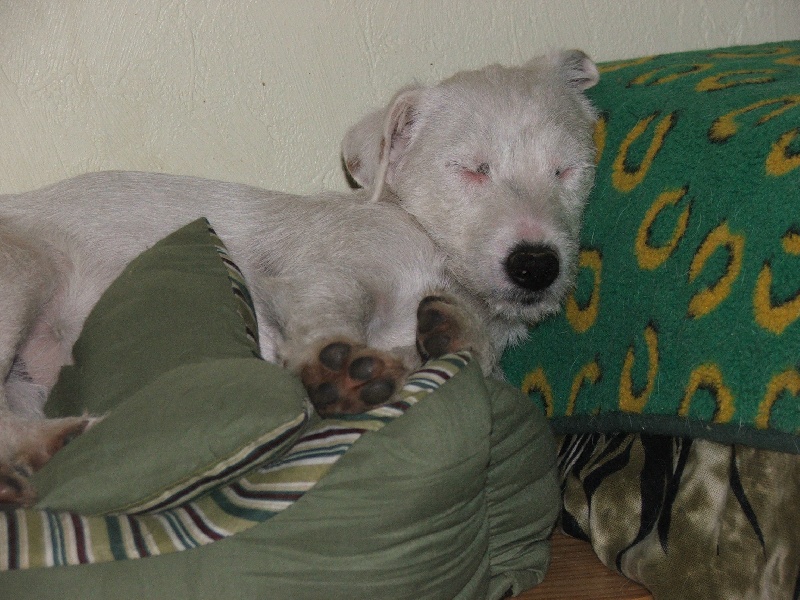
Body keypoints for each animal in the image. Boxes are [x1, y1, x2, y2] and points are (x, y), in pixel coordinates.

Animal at [0, 49, 599, 506]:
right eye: (472, 169)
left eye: (565, 170)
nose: (536, 265)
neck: (429, 244)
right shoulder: (328, 266)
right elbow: (326, 311)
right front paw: (335, 364)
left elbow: (461, 350)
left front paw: (443, 336)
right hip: (23, 276)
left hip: (29, 382)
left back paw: (48, 445)